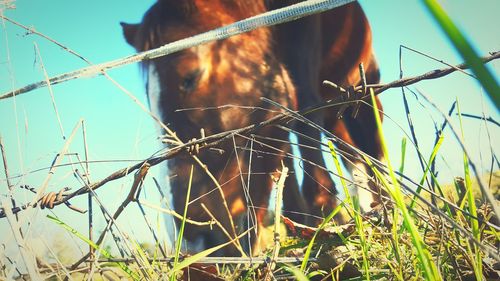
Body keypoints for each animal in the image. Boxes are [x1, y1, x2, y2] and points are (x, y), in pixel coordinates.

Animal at [122, 0, 382, 254]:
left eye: (191, 76)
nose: (193, 244)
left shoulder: (303, 31)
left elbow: (303, 109)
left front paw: (325, 212)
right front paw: (298, 219)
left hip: (366, 87)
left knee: (373, 147)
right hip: (337, 113)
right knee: (352, 156)